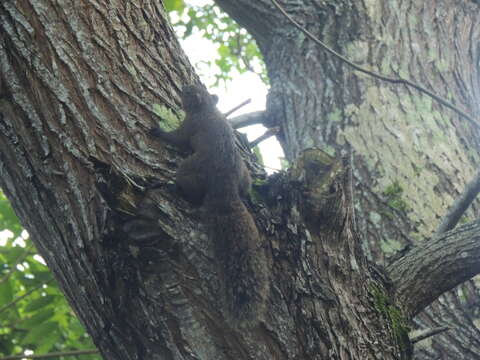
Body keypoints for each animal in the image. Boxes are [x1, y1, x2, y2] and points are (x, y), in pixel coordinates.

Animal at [151, 85, 266, 320]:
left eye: (192, 91)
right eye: (201, 88)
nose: (184, 87)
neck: (207, 108)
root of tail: (224, 188)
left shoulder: (189, 126)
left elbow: (177, 138)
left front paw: (158, 132)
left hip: (188, 168)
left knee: (192, 192)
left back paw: (176, 188)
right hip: (244, 174)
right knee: (245, 188)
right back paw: (248, 196)